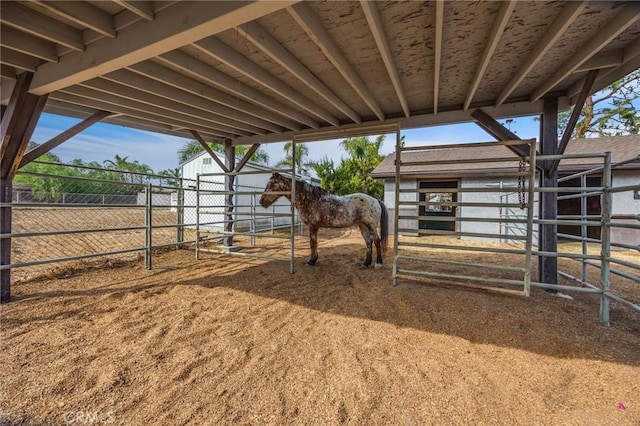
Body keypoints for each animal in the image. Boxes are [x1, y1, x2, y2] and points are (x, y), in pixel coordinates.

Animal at [258, 172, 388, 266]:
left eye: (270, 185)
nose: (261, 202)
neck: (309, 198)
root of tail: (375, 200)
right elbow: (314, 243)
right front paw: (314, 259)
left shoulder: (313, 226)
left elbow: (312, 243)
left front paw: (311, 261)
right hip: (362, 226)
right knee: (368, 242)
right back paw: (366, 263)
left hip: (371, 226)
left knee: (376, 241)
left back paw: (378, 263)